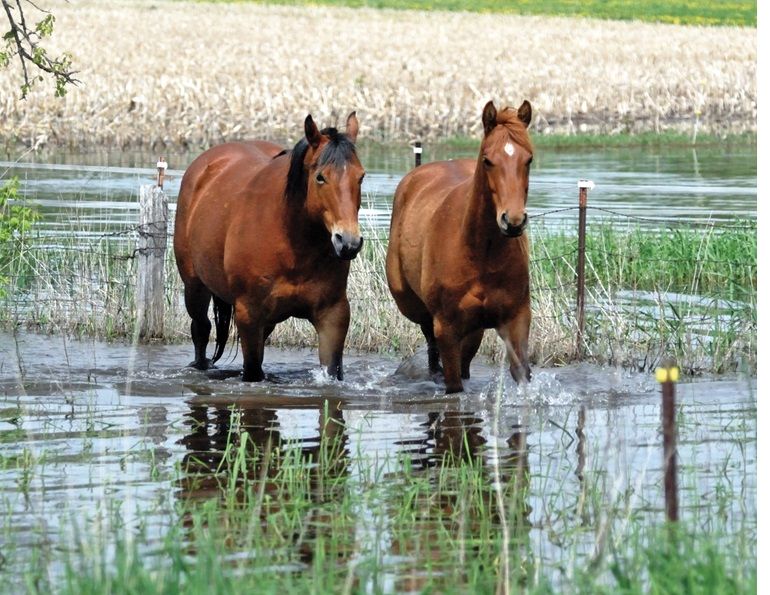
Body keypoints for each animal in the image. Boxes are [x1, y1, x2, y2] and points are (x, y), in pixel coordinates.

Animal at [174, 112, 365, 381]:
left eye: (361, 176)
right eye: (320, 177)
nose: (348, 242)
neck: (294, 245)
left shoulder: (333, 315)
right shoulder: (249, 314)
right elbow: (253, 371)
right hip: (195, 287)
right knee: (201, 330)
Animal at [386, 100, 533, 393]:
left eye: (529, 159)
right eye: (488, 160)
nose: (512, 221)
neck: (481, 252)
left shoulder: (516, 319)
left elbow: (521, 372)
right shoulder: (447, 327)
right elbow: (453, 385)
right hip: (415, 307)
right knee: (429, 339)